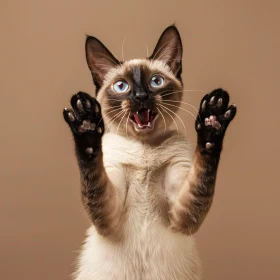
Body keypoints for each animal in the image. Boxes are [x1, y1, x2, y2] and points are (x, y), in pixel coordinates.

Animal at [63, 25, 236, 278]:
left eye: (156, 81)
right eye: (121, 86)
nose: (141, 97)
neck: (143, 149)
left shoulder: (182, 215)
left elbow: (204, 169)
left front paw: (212, 120)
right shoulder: (108, 215)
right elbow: (91, 164)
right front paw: (86, 124)